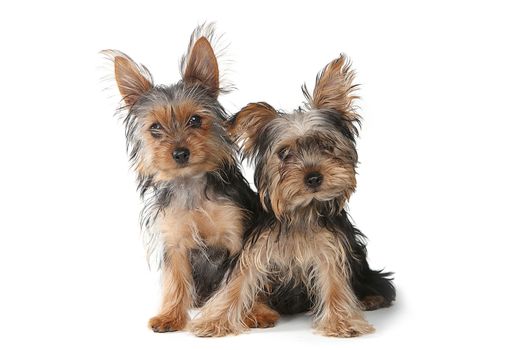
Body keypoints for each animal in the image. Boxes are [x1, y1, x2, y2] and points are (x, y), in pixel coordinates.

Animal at [104, 25, 280, 334]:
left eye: (196, 120)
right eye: (155, 128)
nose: (180, 152)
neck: (191, 184)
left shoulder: (238, 237)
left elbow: (245, 278)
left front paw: (256, 312)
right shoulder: (175, 243)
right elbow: (176, 279)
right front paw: (170, 315)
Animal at [191, 54, 392, 336]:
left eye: (326, 145)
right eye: (284, 153)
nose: (314, 177)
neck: (301, 211)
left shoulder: (332, 248)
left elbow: (334, 283)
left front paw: (342, 321)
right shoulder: (257, 249)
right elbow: (236, 283)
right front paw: (214, 321)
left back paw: (371, 298)